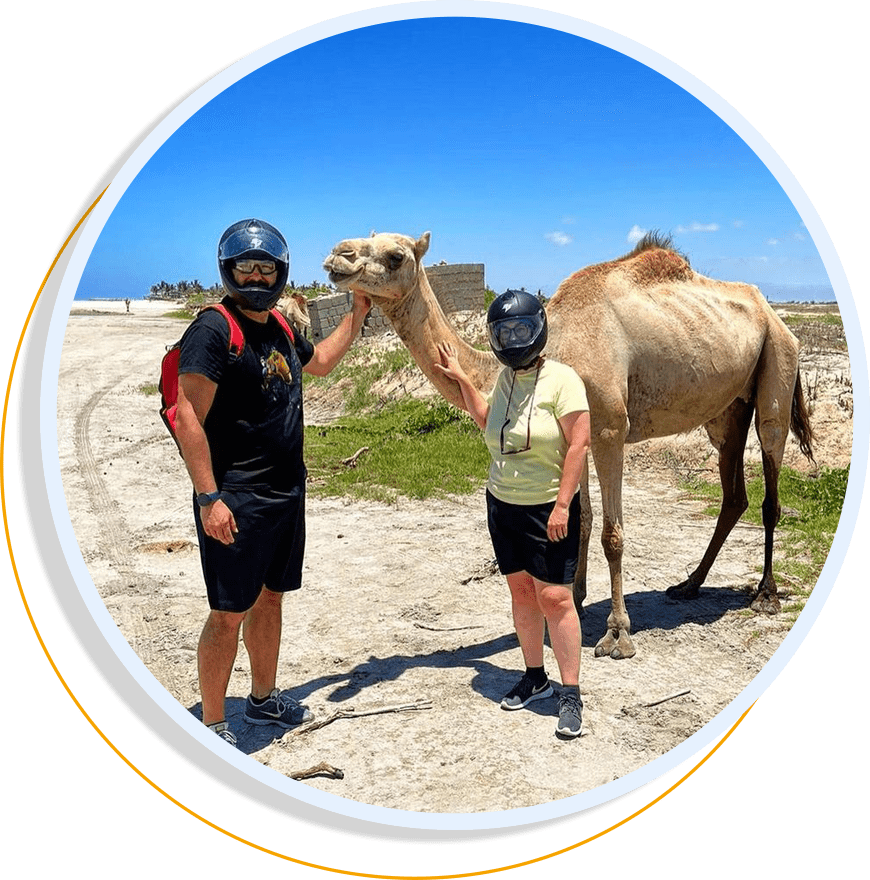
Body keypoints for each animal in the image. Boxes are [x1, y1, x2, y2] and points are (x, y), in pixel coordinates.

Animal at [323, 231, 814, 659]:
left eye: (395, 256)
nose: (337, 255)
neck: (551, 349)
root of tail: (775, 314)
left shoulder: (610, 429)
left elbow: (612, 533)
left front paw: (617, 634)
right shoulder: (576, 434)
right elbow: (582, 520)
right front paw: (574, 598)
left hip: (778, 363)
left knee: (770, 477)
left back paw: (765, 595)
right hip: (726, 409)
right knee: (733, 494)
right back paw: (688, 585)